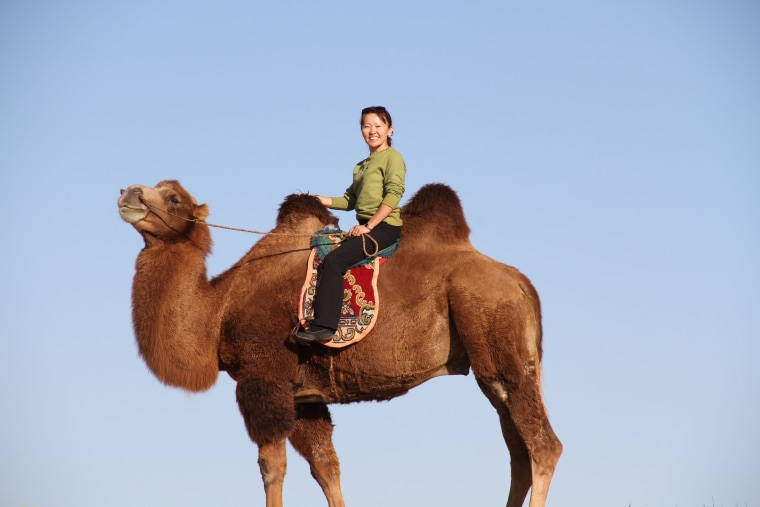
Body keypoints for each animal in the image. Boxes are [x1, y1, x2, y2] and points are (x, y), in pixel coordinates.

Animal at [116, 180, 560, 507]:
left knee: (543, 446)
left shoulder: (264, 376)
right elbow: (326, 467)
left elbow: (270, 466)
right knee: (518, 452)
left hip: (494, 332)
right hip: (499, 362)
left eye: (173, 197)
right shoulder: (304, 396)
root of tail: (521, 284)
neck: (219, 309)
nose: (129, 192)